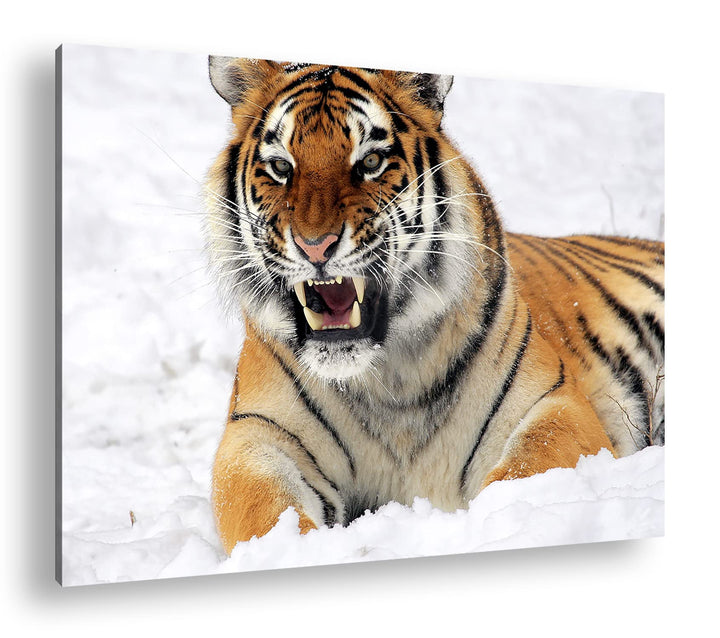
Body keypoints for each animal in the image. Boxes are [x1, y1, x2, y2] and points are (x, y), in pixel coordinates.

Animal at [204, 56, 665, 554]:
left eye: (370, 162)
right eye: (280, 167)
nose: (315, 246)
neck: (388, 379)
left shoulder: (552, 403)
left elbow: (524, 473)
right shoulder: (257, 434)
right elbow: (264, 510)